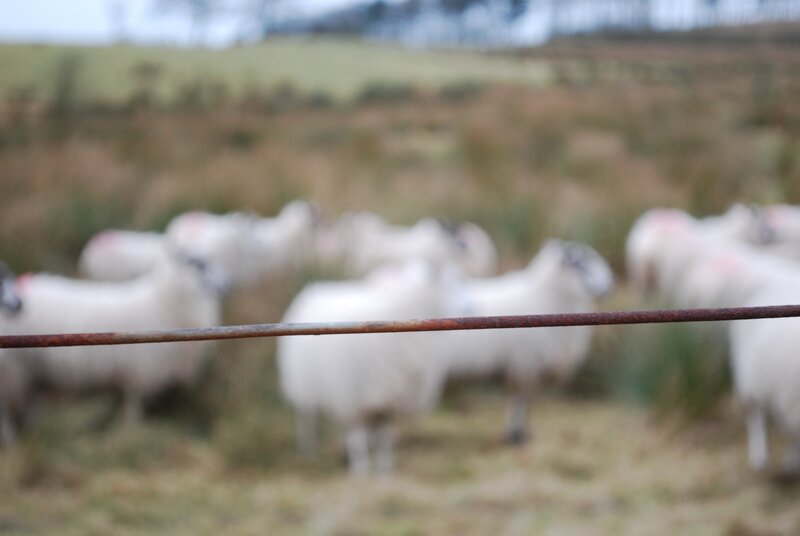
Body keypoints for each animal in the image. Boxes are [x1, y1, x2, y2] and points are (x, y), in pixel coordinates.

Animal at [0, 248, 228, 445]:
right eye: (197, 264)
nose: (225, 284)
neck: (163, 301)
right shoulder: (139, 372)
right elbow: (134, 405)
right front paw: (133, 429)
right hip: (15, 372)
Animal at [276, 260, 459, 475]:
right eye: (449, 282)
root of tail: (316, 288)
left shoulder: (387, 401)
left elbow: (385, 439)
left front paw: (384, 471)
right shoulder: (354, 399)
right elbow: (358, 437)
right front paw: (361, 470)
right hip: (307, 385)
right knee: (307, 421)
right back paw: (309, 453)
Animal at [438, 239, 614, 444]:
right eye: (581, 264)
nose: (610, 285)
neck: (545, 296)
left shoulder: (528, 369)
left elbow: (527, 401)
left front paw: (524, 433)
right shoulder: (524, 365)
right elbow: (519, 401)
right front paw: (516, 435)